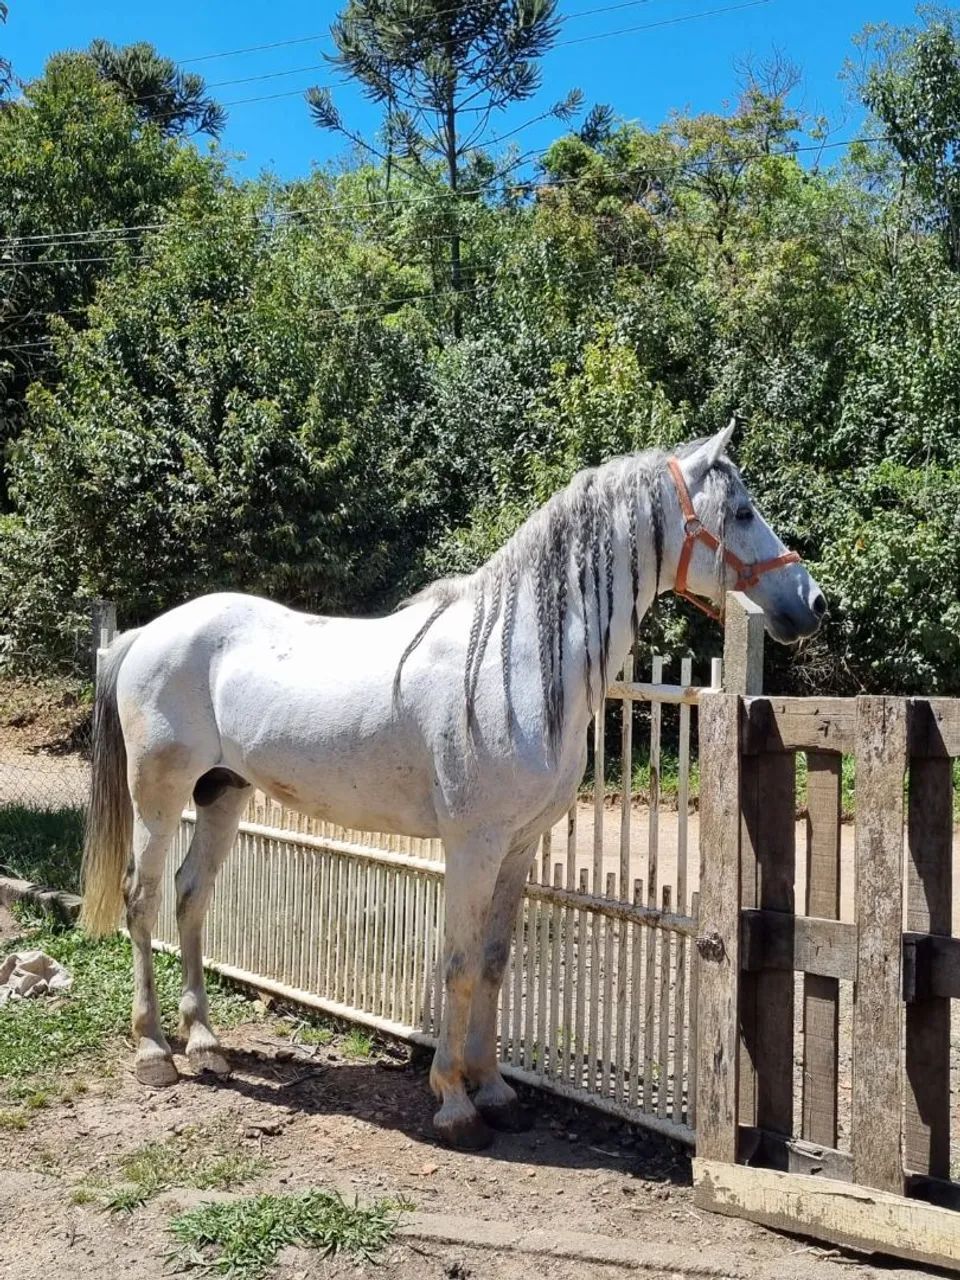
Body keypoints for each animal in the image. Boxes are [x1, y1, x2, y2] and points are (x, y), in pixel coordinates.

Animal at [80, 421, 825, 1149]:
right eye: (741, 511)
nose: (811, 603)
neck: (510, 659)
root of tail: (146, 633)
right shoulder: (473, 845)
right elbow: (459, 964)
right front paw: (455, 1104)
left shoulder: (519, 847)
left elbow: (493, 963)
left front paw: (495, 1091)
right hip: (158, 798)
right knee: (142, 900)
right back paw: (154, 1053)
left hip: (223, 793)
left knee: (190, 898)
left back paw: (206, 1044)